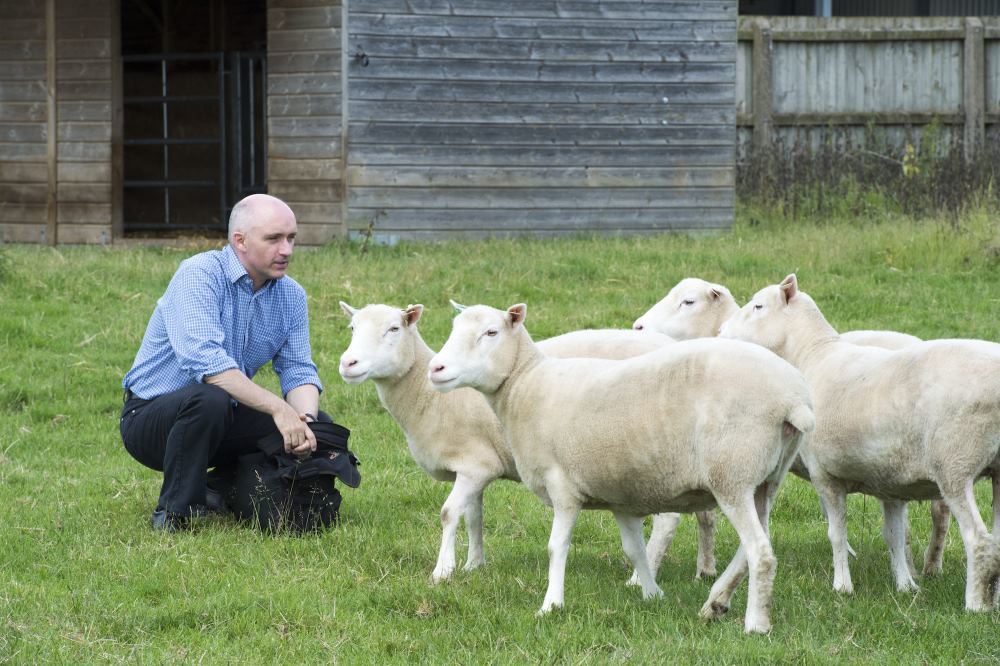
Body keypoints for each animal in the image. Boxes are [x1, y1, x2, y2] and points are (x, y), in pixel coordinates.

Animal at [336, 300, 704, 580]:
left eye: (393, 329)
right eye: (352, 328)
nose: (347, 363)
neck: (427, 397)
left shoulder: (474, 464)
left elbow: (449, 513)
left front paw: (443, 571)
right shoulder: (478, 469)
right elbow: (474, 516)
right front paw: (474, 565)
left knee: (668, 519)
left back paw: (640, 577)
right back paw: (705, 569)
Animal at [428, 302, 812, 632]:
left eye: (491, 332)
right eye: (454, 328)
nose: (436, 369)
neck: (526, 386)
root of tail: (792, 398)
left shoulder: (563, 486)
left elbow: (556, 546)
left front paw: (551, 605)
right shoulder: (620, 498)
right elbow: (635, 549)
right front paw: (652, 594)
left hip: (732, 473)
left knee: (760, 552)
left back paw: (756, 623)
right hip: (764, 479)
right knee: (752, 546)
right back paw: (715, 603)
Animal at [720, 274, 1000, 608]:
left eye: (759, 306)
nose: (721, 330)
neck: (811, 356)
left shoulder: (824, 474)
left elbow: (837, 533)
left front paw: (842, 586)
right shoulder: (891, 482)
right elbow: (894, 535)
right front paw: (905, 586)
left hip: (955, 464)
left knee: (978, 540)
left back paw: (975, 605)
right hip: (996, 471)